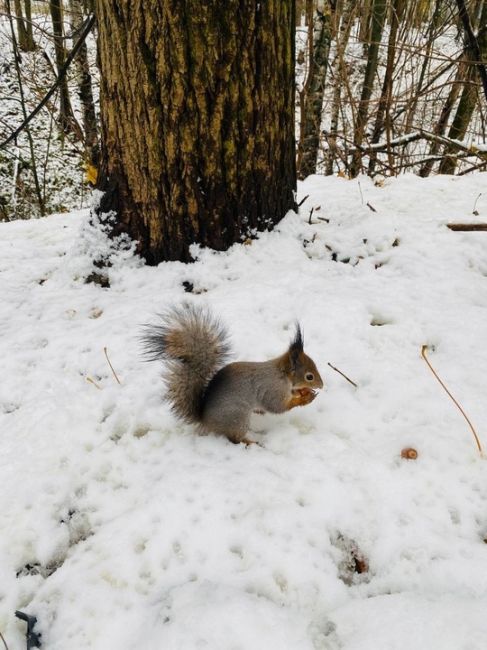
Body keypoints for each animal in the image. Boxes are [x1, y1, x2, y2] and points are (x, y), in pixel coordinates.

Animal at [142, 304, 324, 440]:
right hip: (237, 418)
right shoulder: (272, 388)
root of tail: (204, 420)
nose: (322, 385)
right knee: (235, 438)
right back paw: (251, 443)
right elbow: (277, 406)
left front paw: (302, 392)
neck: (282, 374)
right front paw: (305, 398)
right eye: (309, 376)